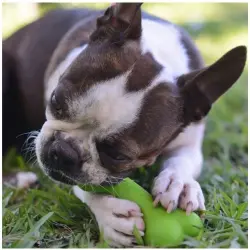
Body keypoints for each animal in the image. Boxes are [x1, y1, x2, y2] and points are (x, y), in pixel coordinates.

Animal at [2, 2, 247, 247]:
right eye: (55, 101)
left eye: (118, 156)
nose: (62, 152)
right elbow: (84, 186)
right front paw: (109, 213)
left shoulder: (190, 140)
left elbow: (183, 160)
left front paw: (178, 183)